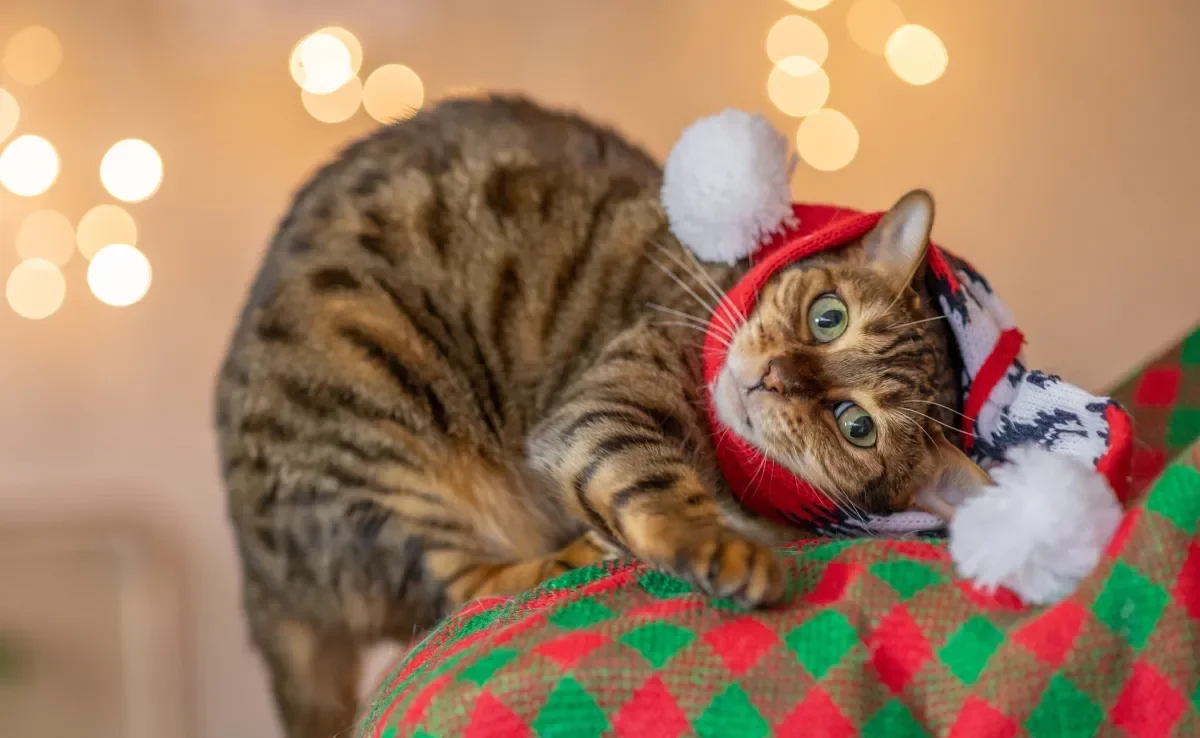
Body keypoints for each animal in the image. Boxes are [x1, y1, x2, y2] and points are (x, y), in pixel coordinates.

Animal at [216, 93, 984, 738]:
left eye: (857, 426)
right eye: (829, 317)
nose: (774, 377)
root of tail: (258, 579)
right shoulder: (602, 407)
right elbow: (655, 485)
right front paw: (724, 548)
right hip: (376, 438)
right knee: (464, 586)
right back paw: (577, 552)